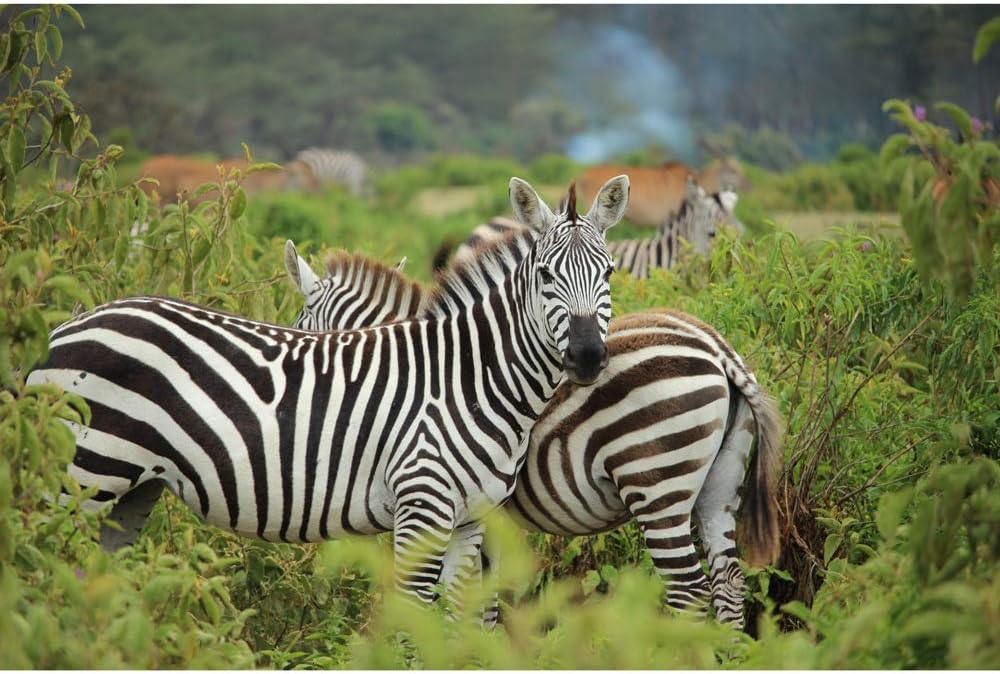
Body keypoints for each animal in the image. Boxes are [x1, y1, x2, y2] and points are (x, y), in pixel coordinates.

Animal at [27, 175, 631, 609]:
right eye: (546, 276)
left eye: (608, 274)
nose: (587, 357)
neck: (470, 378)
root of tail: (63, 330)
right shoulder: (422, 506)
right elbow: (413, 619)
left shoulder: (470, 520)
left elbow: (458, 622)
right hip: (82, 474)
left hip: (127, 490)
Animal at [284, 238, 784, 630]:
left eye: (300, 325)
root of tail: (716, 347)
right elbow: (484, 602)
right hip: (720, 486)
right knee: (729, 585)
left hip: (657, 482)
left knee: (688, 592)